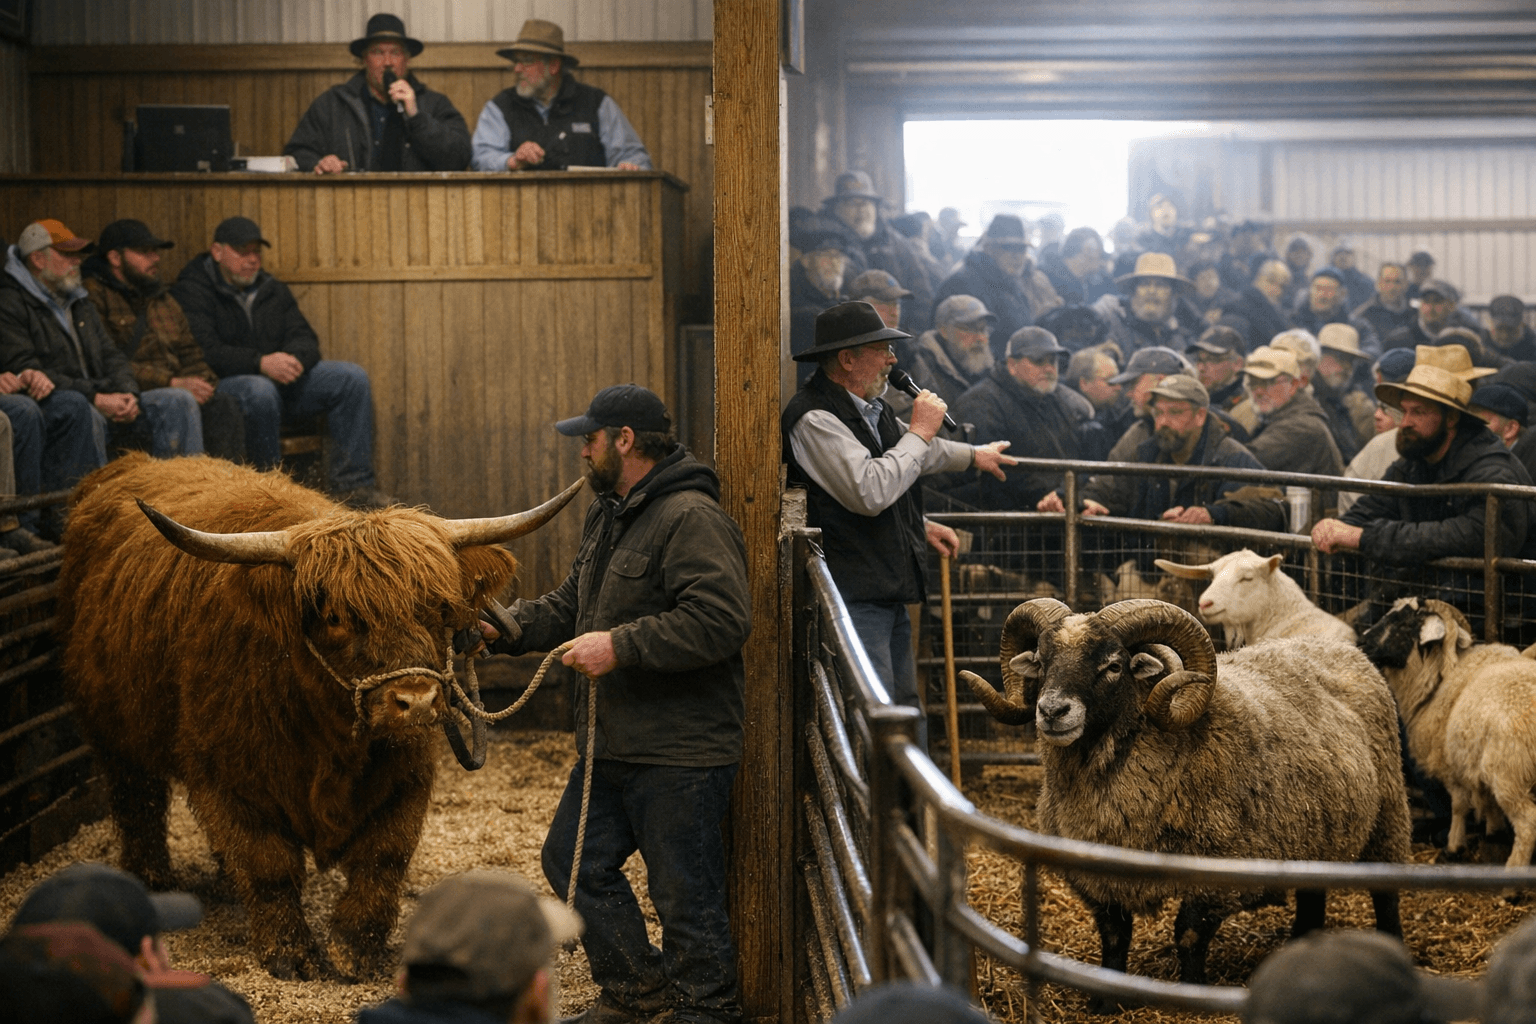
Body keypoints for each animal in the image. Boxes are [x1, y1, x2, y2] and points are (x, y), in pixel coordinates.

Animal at [55, 453, 582, 980]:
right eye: (335, 618)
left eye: (437, 608)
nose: (415, 700)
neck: (328, 735)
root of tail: (135, 462)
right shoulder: (227, 774)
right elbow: (268, 864)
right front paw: (290, 953)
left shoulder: (406, 771)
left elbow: (384, 855)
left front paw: (355, 947)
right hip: (113, 728)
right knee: (138, 801)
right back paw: (153, 881)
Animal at [962, 598, 1409, 1006]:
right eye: (1040, 661)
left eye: (1113, 666)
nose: (1053, 711)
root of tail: (1341, 649)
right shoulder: (1098, 874)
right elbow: (1114, 935)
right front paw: (1106, 999)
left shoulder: (1217, 870)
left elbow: (1189, 934)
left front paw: (1194, 991)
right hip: (1313, 829)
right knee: (1312, 895)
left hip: (1388, 819)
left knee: (1385, 895)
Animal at [1358, 597, 1536, 869]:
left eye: (1403, 623)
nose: (1362, 640)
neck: (1438, 676)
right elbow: (1488, 803)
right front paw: (1493, 835)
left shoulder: (1451, 762)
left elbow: (1459, 806)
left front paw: (1453, 847)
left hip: (1509, 773)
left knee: (1528, 824)